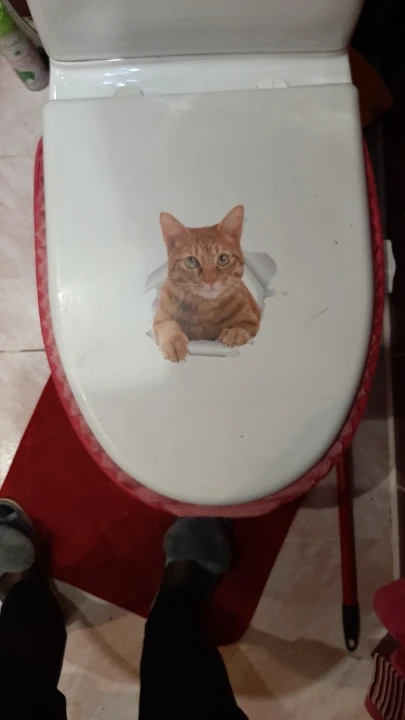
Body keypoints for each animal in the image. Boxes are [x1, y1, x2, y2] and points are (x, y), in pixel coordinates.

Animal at [153, 205, 261, 362]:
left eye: (223, 258)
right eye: (191, 261)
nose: (210, 280)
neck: (205, 309)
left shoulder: (254, 316)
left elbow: (245, 325)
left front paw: (234, 332)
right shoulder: (160, 319)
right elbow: (168, 326)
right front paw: (174, 342)